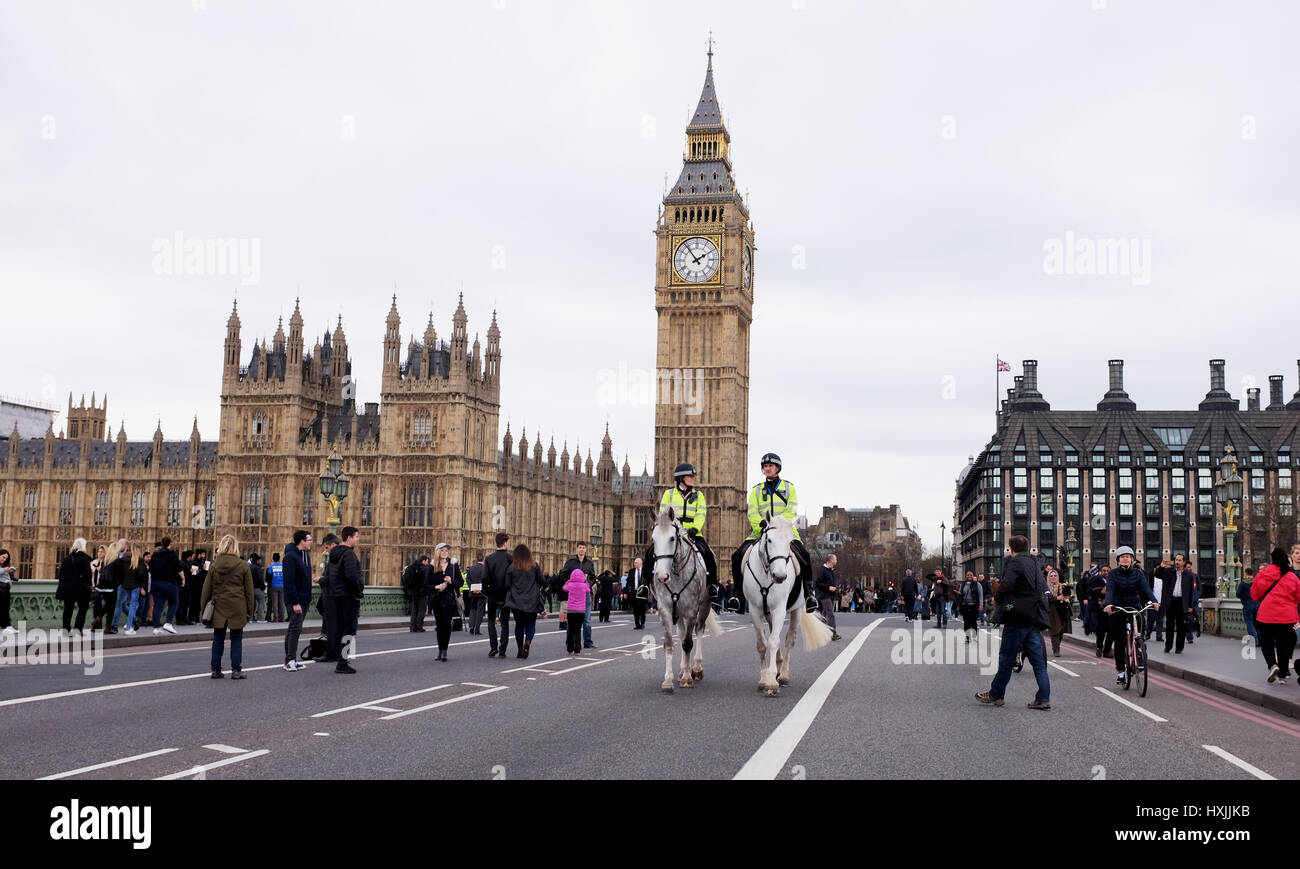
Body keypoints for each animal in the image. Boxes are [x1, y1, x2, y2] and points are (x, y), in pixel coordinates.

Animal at [647, 509, 722, 692]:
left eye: (672, 538)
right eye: (653, 538)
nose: (661, 576)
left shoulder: (691, 610)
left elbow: (688, 643)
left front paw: (688, 677)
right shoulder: (665, 609)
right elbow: (669, 643)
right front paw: (668, 680)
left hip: (704, 606)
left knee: (699, 631)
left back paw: (696, 668)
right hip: (678, 611)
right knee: (681, 635)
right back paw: (681, 670)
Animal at [743, 515, 832, 692]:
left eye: (789, 542)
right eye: (769, 540)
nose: (780, 576)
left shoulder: (779, 609)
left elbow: (774, 641)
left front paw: (772, 682)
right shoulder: (755, 609)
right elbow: (762, 644)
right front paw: (764, 679)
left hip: (796, 609)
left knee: (789, 639)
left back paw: (783, 674)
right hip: (768, 613)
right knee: (772, 634)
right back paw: (778, 665)